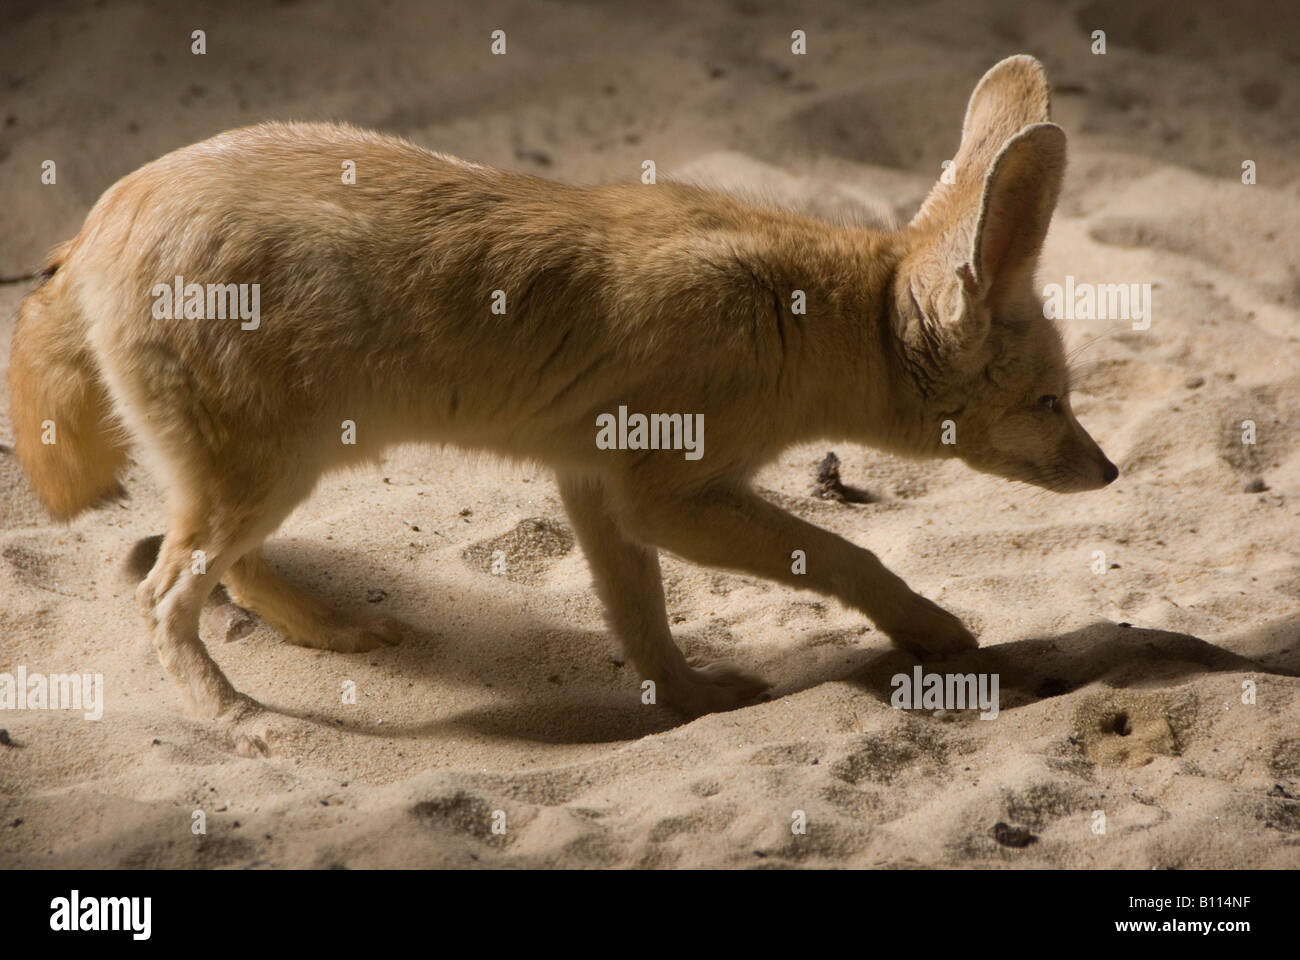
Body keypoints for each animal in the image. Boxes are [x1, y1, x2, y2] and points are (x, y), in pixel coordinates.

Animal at [7, 50, 1118, 712]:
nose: (1109, 473)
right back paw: (232, 714)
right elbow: (848, 557)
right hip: (266, 474)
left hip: (272, 475)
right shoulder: (664, 495)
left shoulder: (596, 487)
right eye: (1050, 403)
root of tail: (99, 218)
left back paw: (335, 633)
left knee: (224, 572)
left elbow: (642, 621)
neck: (799, 314)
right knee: (164, 595)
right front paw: (929, 630)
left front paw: (690, 704)